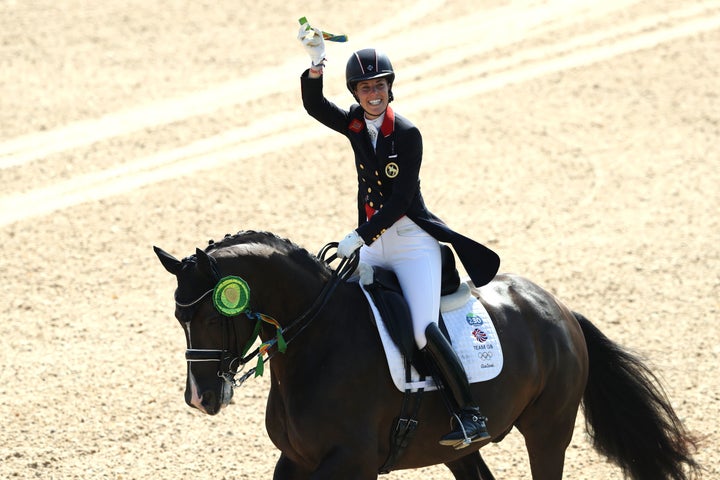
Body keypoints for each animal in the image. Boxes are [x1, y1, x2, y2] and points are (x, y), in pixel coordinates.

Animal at [153, 231, 696, 478]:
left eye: (211, 316)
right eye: (179, 319)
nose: (200, 398)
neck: (317, 342)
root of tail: (559, 310)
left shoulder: (352, 463)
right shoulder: (296, 459)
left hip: (549, 430)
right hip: (458, 450)